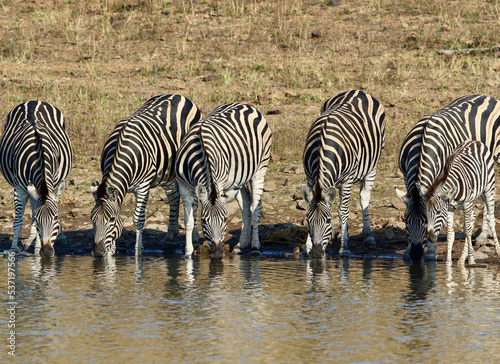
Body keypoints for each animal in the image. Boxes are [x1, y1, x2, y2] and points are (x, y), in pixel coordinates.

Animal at [0, 101, 73, 258]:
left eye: (55, 218)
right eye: (40, 221)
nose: (47, 251)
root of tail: (34, 101)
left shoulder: (53, 184)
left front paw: (38, 250)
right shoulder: (20, 188)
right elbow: (19, 221)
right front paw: (14, 250)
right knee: (32, 210)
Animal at [90, 95, 201, 258]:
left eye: (111, 219)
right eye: (92, 219)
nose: (98, 252)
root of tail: (179, 96)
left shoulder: (143, 187)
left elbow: (138, 219)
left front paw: (138, 251)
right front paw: (111, 251)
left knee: (195, 202)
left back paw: (196, 236)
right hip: (166, 172)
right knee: (173, 196)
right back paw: (170, 235)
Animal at [175, 101, 272, 258]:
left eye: (225, 219)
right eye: (203, 221)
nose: (217, 254)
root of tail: (244, 104)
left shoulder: (219, 183)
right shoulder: (184, 186)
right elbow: (188, 221)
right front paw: (188, 253)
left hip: (260, 169)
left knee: (255, 208)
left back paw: (255, 247)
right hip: (238, 180)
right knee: (246, 205)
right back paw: (241, 245)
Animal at [300, 89, 386, 258]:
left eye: (327, 221)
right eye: (307, 221)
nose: (317, 253)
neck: (323, 147)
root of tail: (356, 90)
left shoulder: (347, 179)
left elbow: (343, 211)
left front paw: (344, 248)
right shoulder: (310, 178)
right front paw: (307, 247)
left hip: (371, 167)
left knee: (364, 198)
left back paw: (368, 236)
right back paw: (341, 233)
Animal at [394, 94, 500, 262]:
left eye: (425, 221)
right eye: (405, 221)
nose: (416, 255)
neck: (422, 144)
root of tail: (486, 96)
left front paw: (431, 250)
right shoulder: (405, 176)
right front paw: (407, 250)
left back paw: (483, 235)